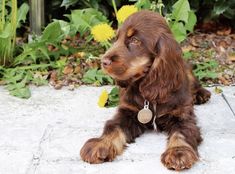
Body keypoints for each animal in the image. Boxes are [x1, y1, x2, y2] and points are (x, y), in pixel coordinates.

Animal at [80, 10, 210, 171]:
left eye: (135, 41)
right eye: (117, 38)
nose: (103, 61)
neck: (149, 92)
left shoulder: (182, 114)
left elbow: (182, 132)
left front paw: (178, 152)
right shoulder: (128, 112)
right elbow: (113, 127)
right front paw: (100, 144)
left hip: (186, 70)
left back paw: (201, 94)